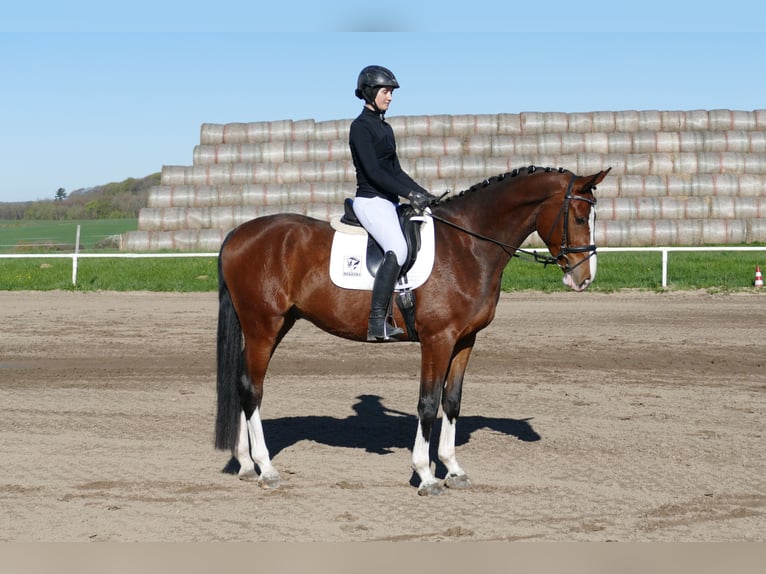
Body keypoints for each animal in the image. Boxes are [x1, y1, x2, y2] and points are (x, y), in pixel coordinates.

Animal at [215, 165, 609, 496]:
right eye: (578, 217)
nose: (584, 279)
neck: (468, 245)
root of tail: (237, 233)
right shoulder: (438, 339)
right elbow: (428, 403)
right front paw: (426, 475)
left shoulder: (465, 340)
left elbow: (452, 401)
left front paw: (453, 470)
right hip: (263, 326)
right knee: (252, 389)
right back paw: (266, 469)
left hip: (275, 325)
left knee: (243, 384)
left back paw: (246, 464)